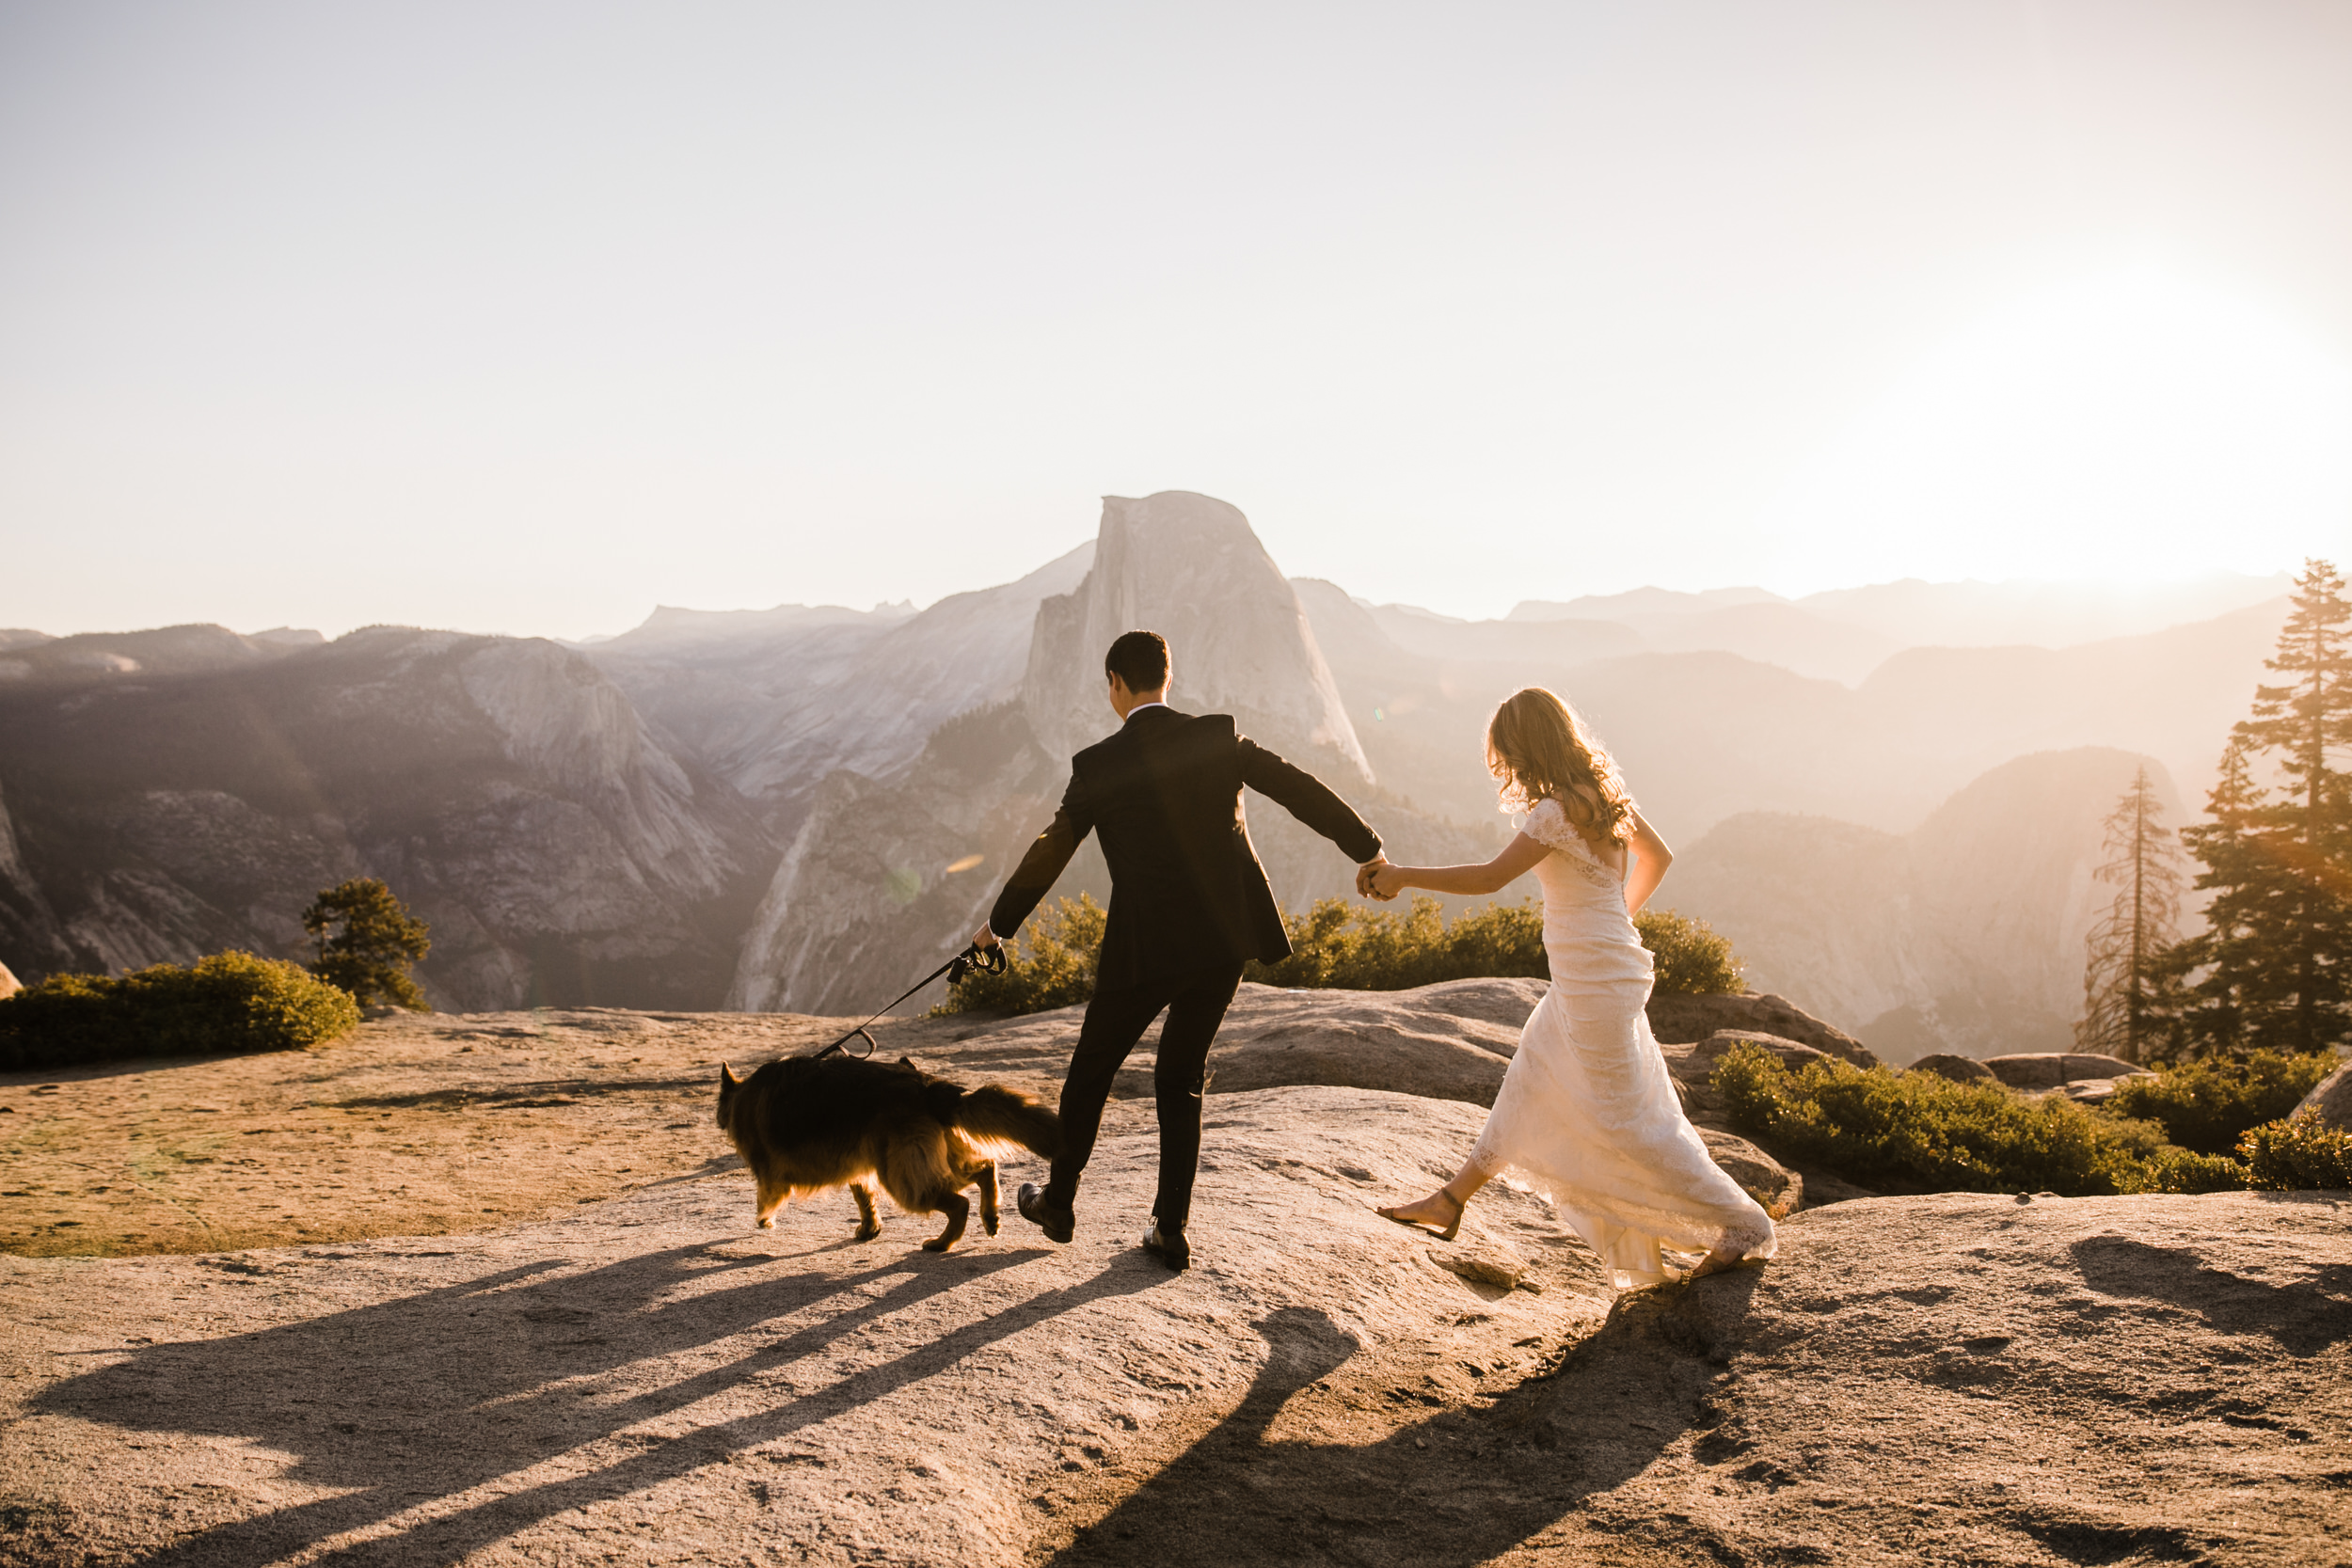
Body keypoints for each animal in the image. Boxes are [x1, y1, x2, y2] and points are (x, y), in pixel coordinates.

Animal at [706, 1048, 1058, 1259]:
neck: (741, 1096)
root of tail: (928, 1086)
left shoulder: (769, 1174)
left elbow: (765, 1197)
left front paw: (764, 1219)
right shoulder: (859, 1166)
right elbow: (864, 1197)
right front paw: (869, 1229)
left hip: (901, 1176)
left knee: (958, 1203)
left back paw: (942, 1243)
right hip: (928, 1159)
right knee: (986, 1168)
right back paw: (990, 1216)